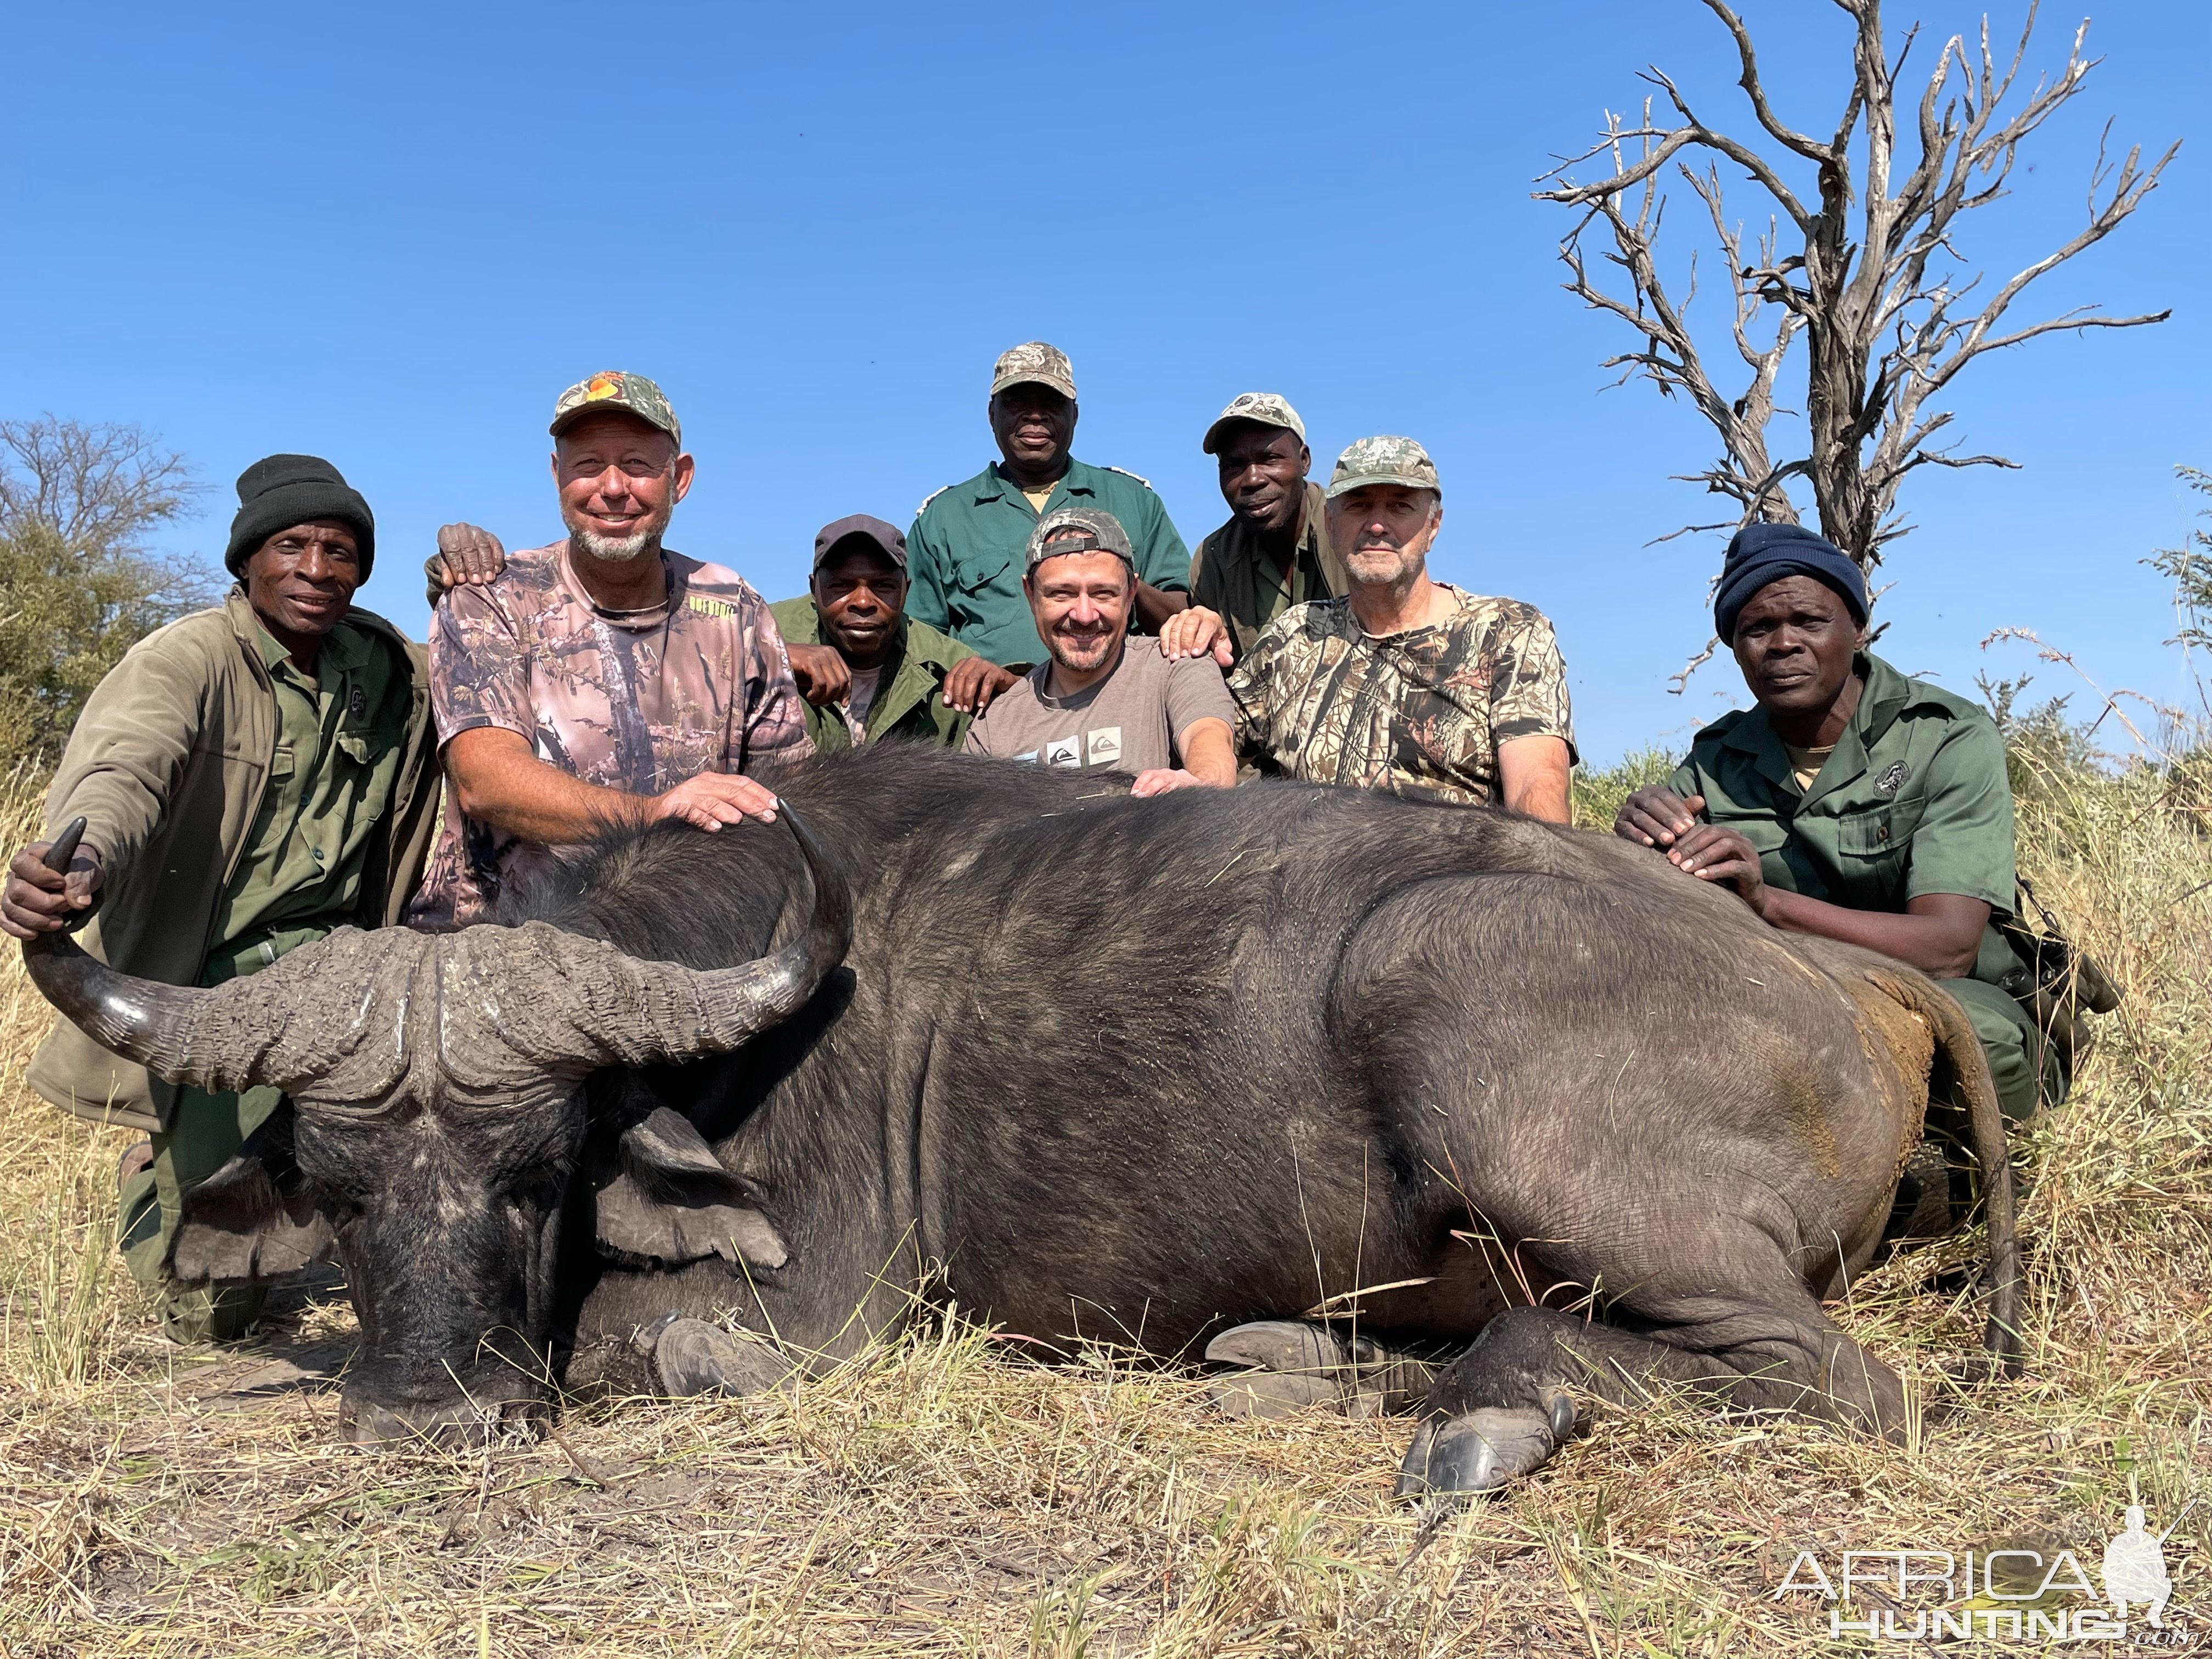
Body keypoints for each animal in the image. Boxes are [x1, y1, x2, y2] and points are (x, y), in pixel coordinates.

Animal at [30, 747, 2026, 1504]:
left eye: (541, 1172)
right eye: (345, 1183)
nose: (430, 1411)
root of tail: (1840, 988)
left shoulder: (813, 1306)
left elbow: (660, 1345)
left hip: (1462, 1022)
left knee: (1826, 1378)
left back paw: (1483, 1420)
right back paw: (1299, 1367)